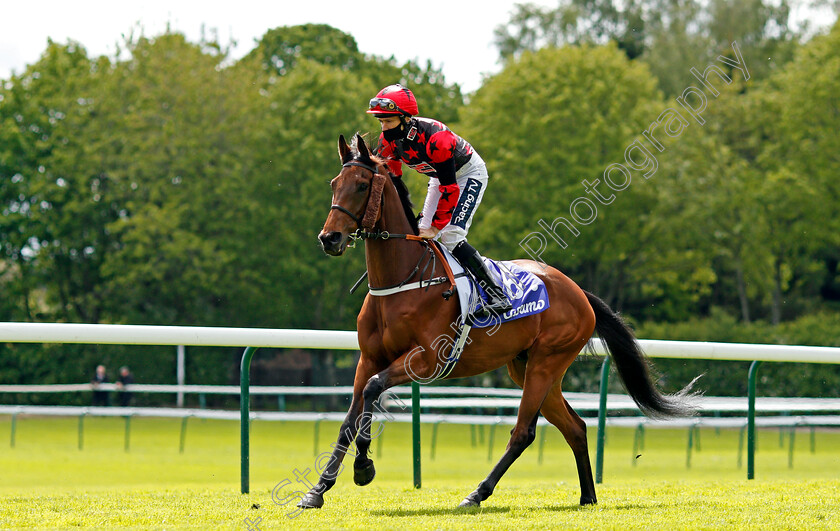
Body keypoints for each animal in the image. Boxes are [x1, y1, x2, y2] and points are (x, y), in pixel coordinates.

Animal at [306, 133, 700, 512]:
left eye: (361, 185)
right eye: (334, 183)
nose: (329, 238)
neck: (403, 280)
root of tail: (578, 292)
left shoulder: (427, 360)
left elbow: (373, 390)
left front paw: (363, 468)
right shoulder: (369, 358)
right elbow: (350, 417)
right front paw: (318, 490)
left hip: (545, 362)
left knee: (524, 432)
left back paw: (477, 493)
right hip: (527, 368)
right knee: (575, 427)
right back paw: (588, 496)